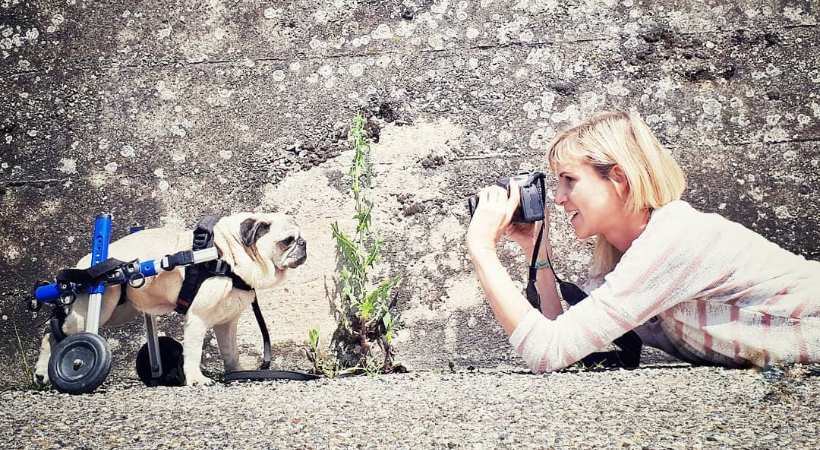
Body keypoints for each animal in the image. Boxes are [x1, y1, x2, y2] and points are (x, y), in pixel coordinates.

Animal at [32, 214, 308, 386]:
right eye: (287, 241)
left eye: (300, 238)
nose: (304, 244)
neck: (228, 255)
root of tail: (87, 264)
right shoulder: (198, 318)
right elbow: (193, 352)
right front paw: (196, 379)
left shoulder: (226, 323)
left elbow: (231, 353)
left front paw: (237, 373)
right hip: (96, 309)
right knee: (53, 334)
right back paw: (46, 371)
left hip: (119, 310)